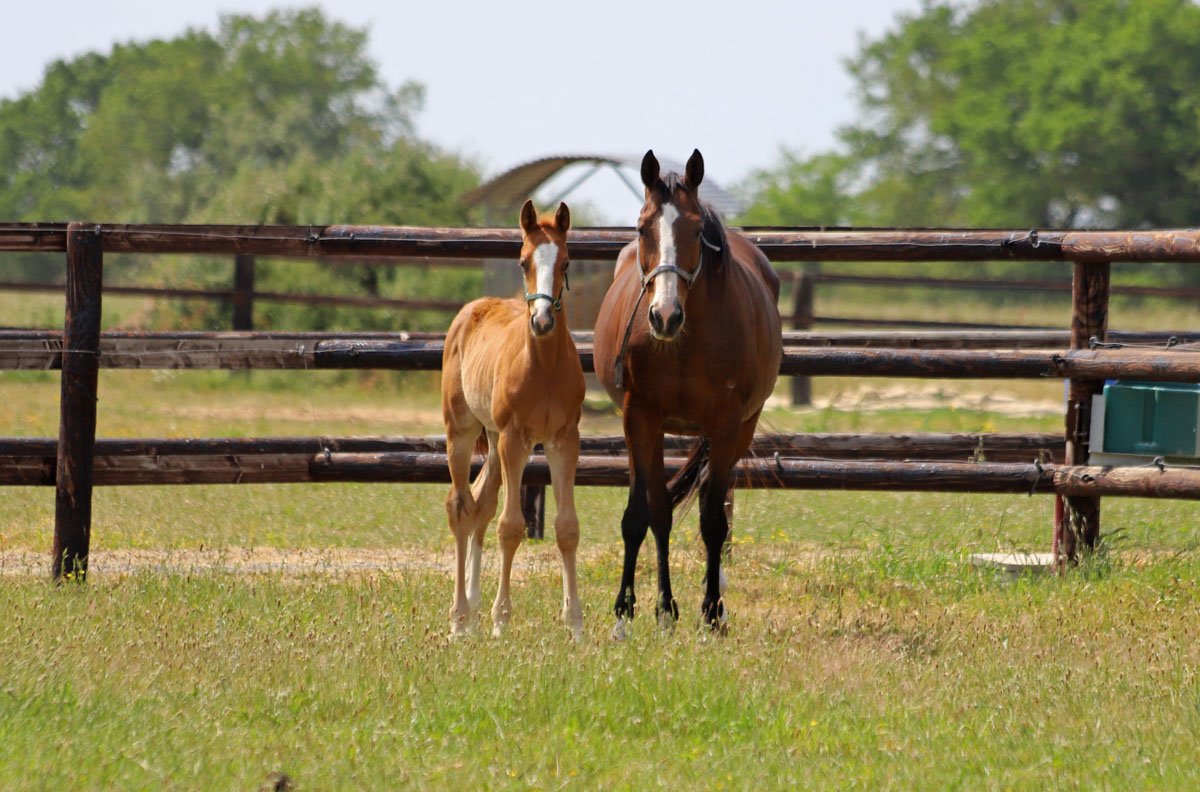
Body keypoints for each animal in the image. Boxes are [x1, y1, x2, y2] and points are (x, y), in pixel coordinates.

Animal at [441, 199, 586, 640]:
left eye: (566, 262)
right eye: (523, 262)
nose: (542, 321)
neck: (543, 366)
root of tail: (470, 309)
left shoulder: (563, 439)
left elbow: (566, 528)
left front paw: (576, 625)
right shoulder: (515, 438)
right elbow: (511, 526)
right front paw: (501, 621)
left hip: (492, 439)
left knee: (480, 505)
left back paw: (472, 605)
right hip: (463, 431)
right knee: (460, 506)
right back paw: (460, 619)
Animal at [593, 149, 782, 634]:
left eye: (696, 230)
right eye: (642, 227)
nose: (664, 315)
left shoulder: (726, 424)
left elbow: (713, 521)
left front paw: (712, 613)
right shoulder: (639, 417)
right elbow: (642, 515)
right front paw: (627, 612)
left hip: (742, 430)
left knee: (716, 511)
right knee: (660, 510)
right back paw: (664, 609)